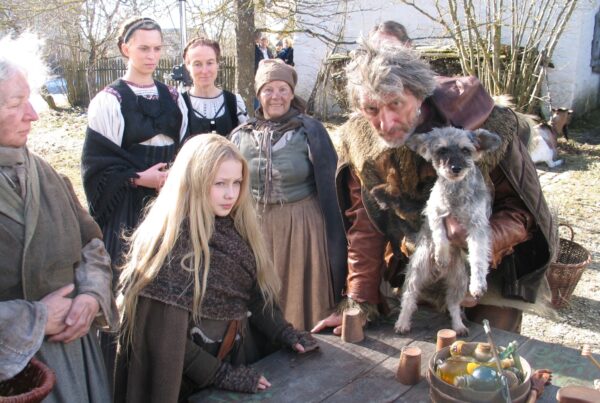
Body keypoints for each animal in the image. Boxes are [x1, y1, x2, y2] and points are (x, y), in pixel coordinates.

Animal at [394, 128, 502, 336]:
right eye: (442, 150)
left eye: (466, 150)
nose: (455, 168)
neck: (455, 191)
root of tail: (438, 274)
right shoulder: (434, 213)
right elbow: (440, 236)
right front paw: (442, 256)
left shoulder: (478, 227)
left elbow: (478, 258)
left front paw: (478, 284)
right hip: (417, 271)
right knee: (409, 299)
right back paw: (402, 322)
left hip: (458, 281)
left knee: (453, 304)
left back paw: (458, 326)